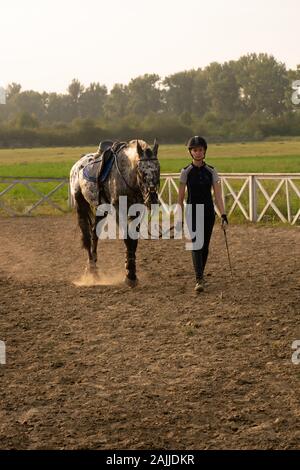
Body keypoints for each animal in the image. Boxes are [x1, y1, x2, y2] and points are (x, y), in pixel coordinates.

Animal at [69, 139, 161, 286]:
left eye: (158, 169)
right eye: (141, 171)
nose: (152, 198)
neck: (127, 176)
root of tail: (77, 165)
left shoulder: (137, 211)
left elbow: (133, 240)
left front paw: (131, 271)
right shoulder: (119, 210)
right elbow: (127, 239)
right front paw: (130, 275)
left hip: (102, 209)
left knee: (94, 233)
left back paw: (94, 269)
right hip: (81, 205)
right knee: (87, 237)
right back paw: (91, 272)